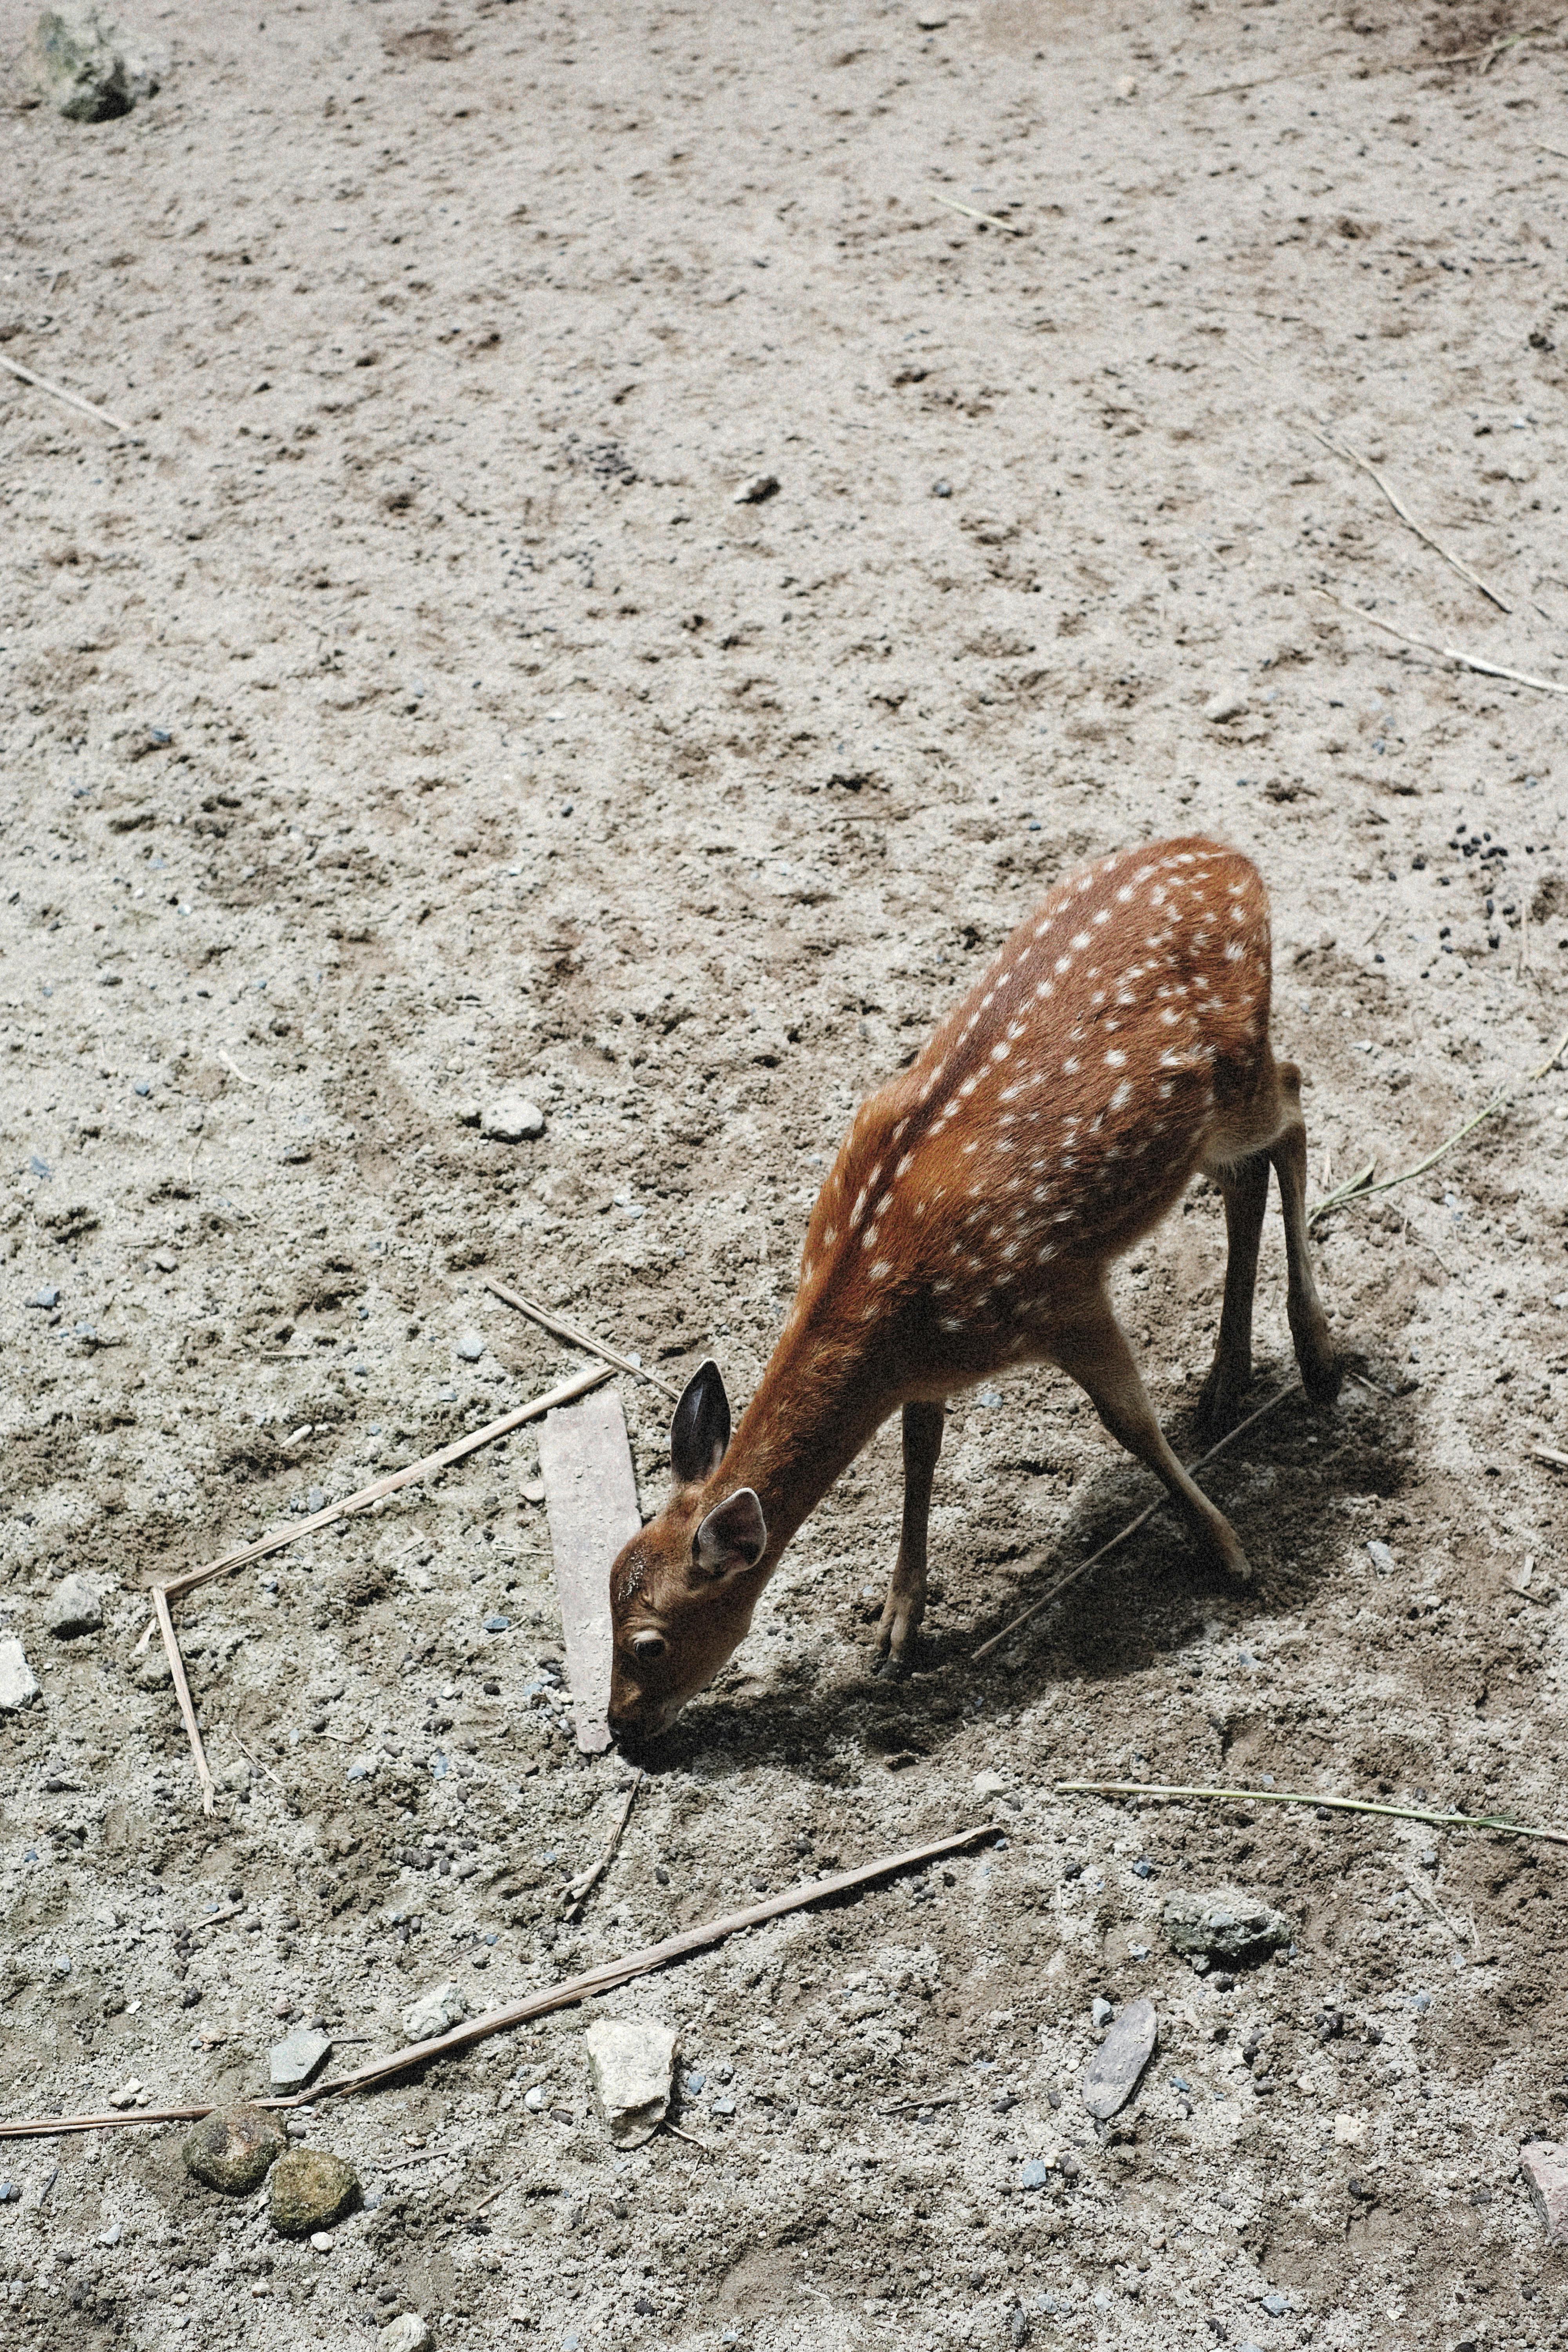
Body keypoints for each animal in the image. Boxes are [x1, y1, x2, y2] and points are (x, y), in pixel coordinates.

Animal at [606, 836, 1341, 1740]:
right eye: (603, 1593)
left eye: (649, 1642)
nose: (619, 1729)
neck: (893, 1309)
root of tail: (1229, 855)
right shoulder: (932, 1365)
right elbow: (920, 1453)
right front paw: (897, 1629)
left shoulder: (1058, 1289)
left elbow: (1128, 1423)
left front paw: (1228, 1550)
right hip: (1200, 1133)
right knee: (1247, 1173)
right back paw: (1225, 1380)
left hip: (1240, 1076)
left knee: (1296, 1104)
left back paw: (1317, 1360)